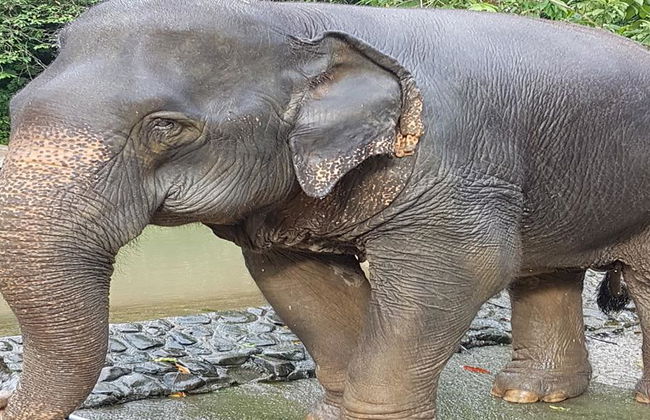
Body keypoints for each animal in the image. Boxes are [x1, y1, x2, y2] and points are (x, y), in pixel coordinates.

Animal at [0, 0, 648, 418]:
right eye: (17, 105)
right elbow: (302, 285)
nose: (6, 399)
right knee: (546, 271)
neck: (303, 27)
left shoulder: (457, 173)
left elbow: (461, 270)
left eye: (164, 128)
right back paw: (529, 395)